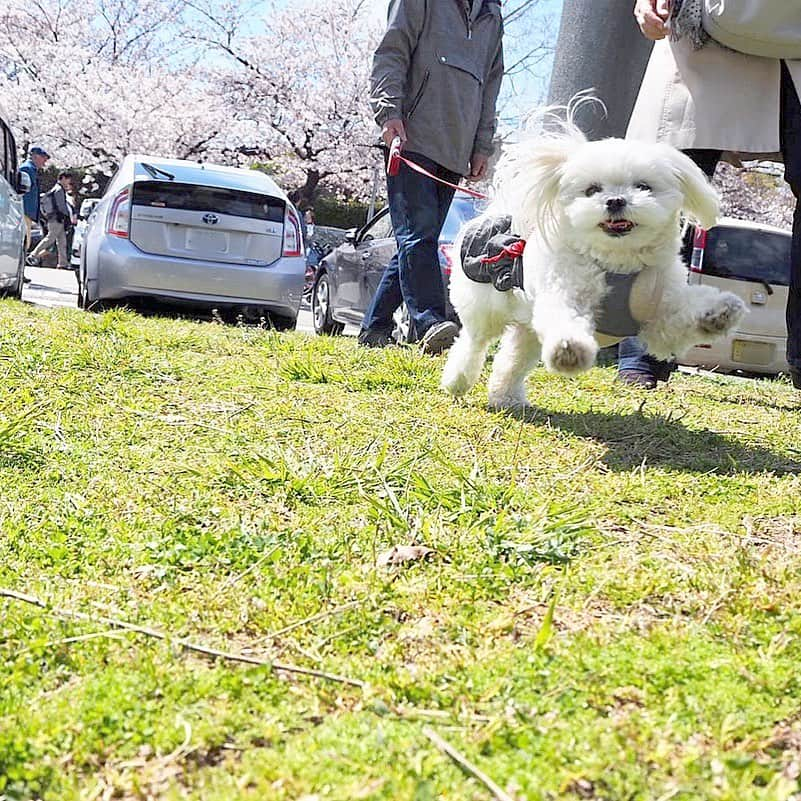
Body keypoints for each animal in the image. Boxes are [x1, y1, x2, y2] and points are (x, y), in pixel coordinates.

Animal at [440, 110, 748, 410]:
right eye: (591, 190)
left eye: (643, 186)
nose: (615, 200)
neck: (617, 263)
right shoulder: (565, 292)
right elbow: (565, 318)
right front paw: (570, 349)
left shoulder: (659, 317)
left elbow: (679, 317)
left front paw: (718, 312)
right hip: (484, 308)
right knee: (472, 343)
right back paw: (457, 381)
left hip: (526, 327)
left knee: (512, 359)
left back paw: (507, 398)